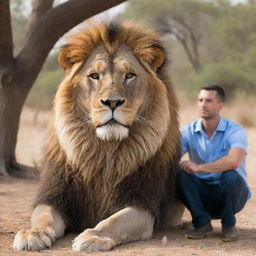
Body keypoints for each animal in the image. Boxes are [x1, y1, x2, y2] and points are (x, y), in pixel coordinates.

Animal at [13, 20, 183, 252]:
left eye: (129, 75)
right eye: (94, 76)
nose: (112, 102)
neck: (104, 152)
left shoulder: (142, 204)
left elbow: (115, 221)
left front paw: (93, 236)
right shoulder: (54, 196)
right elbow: (43, 216)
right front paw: (32, 234)